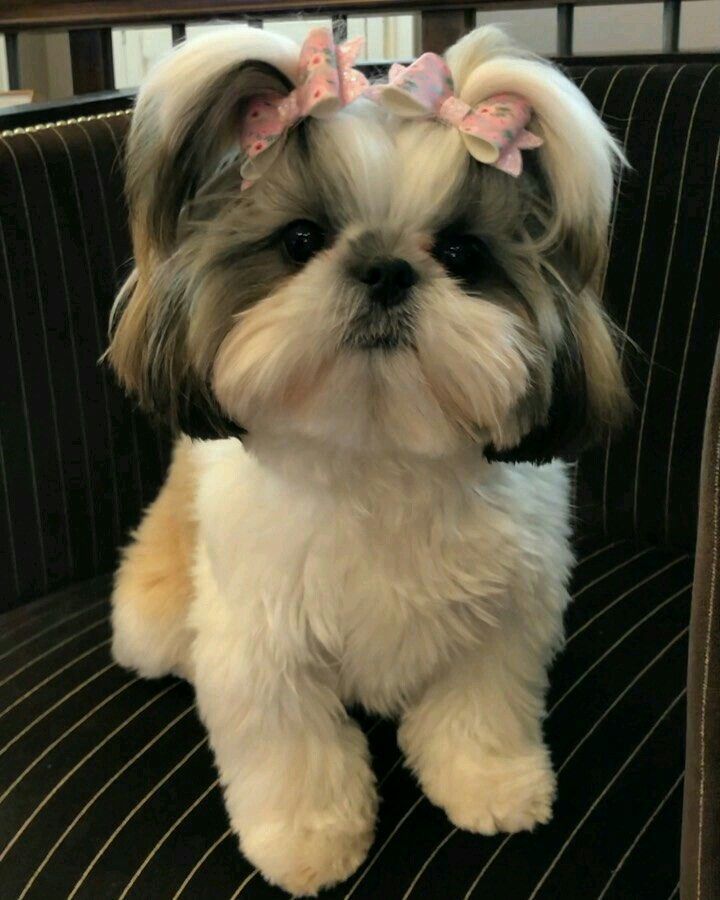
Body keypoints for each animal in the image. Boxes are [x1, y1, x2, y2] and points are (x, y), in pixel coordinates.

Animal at [107, 24, 632, 896]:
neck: (377, 452)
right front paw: (307, 840)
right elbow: (294, 749)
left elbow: (478, 707)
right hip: (153, 609)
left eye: (462, 252)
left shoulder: (502, 619)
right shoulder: (265, 645)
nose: (387, 267)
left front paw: (490, 782)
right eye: (300, 240)